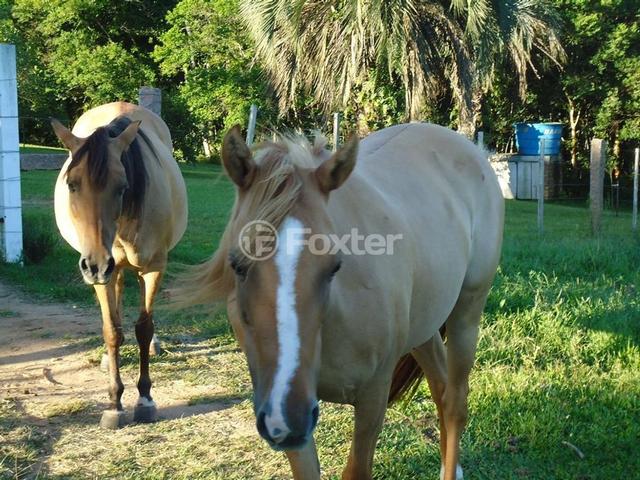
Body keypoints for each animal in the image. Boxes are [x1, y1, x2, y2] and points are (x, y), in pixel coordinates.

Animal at [52, 100, 188, 428]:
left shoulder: (152, 268)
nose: (96, 265)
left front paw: (145, 398)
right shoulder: (104, 275)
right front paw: (114, 402)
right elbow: (112, 330)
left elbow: (144, 328)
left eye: (122, 185)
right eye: (71, 184)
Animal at [178, 124, 502, 480]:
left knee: (455, 402)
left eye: (334, 266)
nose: (286, 420)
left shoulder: (372, 398)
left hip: (467, 313)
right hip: (424, 328)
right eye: (237, 265)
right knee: (441, 391)